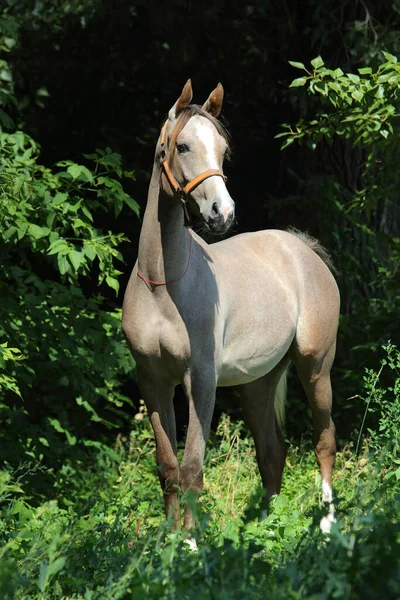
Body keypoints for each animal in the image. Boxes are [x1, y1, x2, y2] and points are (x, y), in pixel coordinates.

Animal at [121, 79, 338, 536]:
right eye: (183, 145)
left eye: (222, 148)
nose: (223, 213)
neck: (163, 287)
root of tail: (302, 249)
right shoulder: (153, 382)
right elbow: (167, 467)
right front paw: (167, 544)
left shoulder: (200, 381)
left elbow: (192, 467)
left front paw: (189, 544)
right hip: (257, 384)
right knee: (272, 453)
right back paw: (264, 530)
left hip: (316, 366)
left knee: (324, 441)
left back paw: (329, 527)